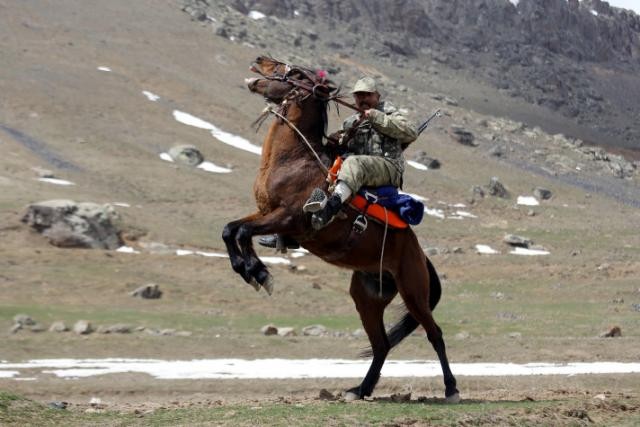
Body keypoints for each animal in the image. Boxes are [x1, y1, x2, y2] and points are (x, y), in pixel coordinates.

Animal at [222, 57, 458, 404]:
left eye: (295, 74)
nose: (259, 61)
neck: (293, 159)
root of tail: (420, 254)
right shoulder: (266, 214)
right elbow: (231, 230)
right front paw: (252, 270)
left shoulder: (288, 218)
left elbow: (239, 233)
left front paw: (259, 273)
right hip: (367, 297)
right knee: (381, 344)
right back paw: (360, 389)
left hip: (414, 291)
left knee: (435, 334)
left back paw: (451, 389)